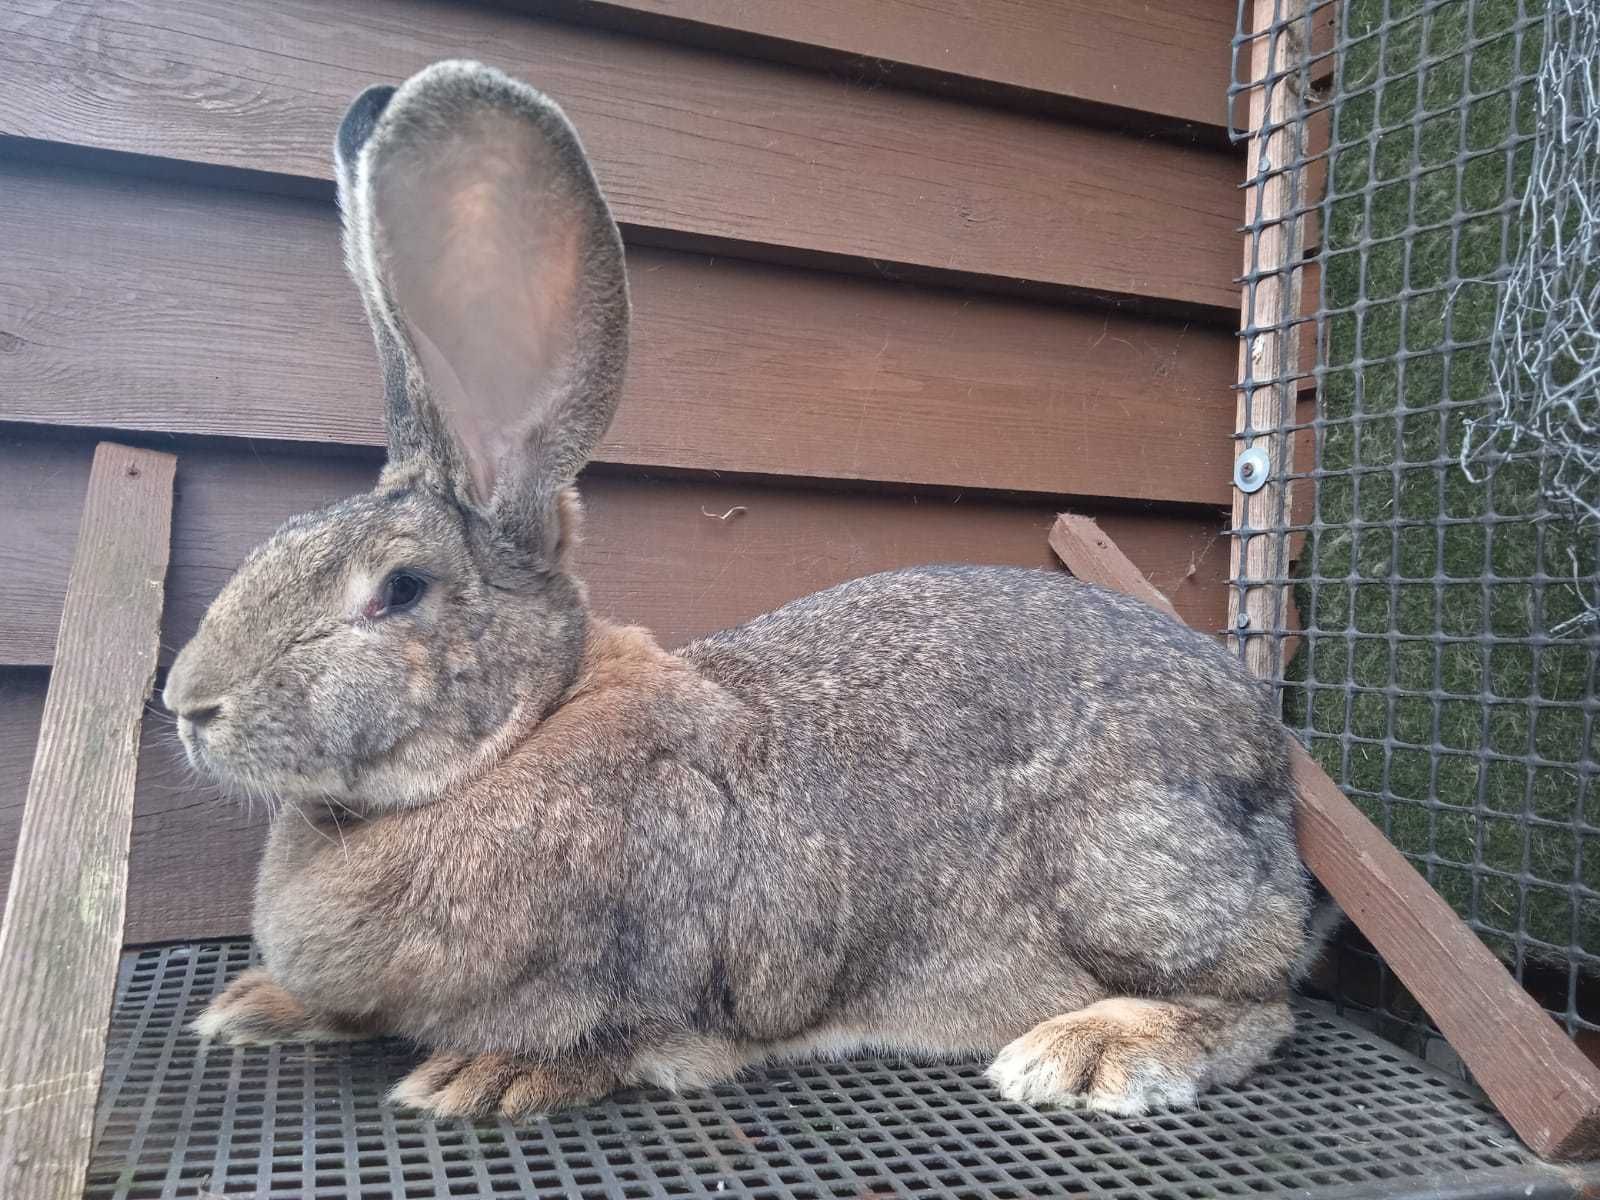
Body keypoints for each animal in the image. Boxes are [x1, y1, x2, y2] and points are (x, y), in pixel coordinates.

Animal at [168, 61, 1331, 1126]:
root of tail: (1265, 760)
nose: (187, 706)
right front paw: (254, 1005)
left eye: (398, 591)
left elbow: (613, 1038)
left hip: (1131, 879)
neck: (519, 735)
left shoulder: (663, 971)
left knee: (1260, 1000)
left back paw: (1091, 1052)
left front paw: (479, 1077)